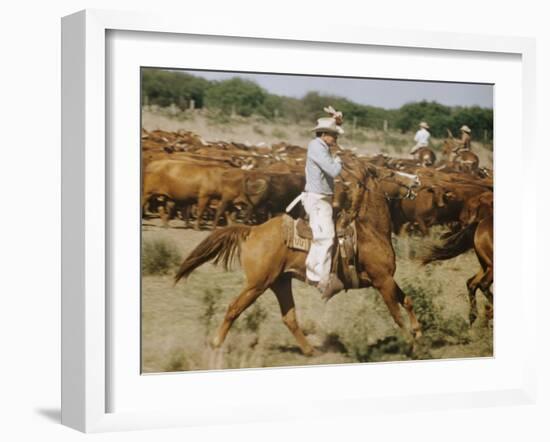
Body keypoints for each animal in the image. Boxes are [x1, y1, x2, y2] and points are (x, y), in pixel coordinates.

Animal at [175, 164, 424, 358]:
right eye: (391, 173)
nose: (417, 180)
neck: (370, 232)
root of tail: (253, 230)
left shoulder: (386, 280)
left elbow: (408, 301)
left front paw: (418, 334)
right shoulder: (382, 280)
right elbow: (397, 315)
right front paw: (409, 344)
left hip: (280, 282)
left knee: (289, 318)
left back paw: (311, 351)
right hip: (257, 285)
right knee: (234, 308)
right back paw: (216, 343)